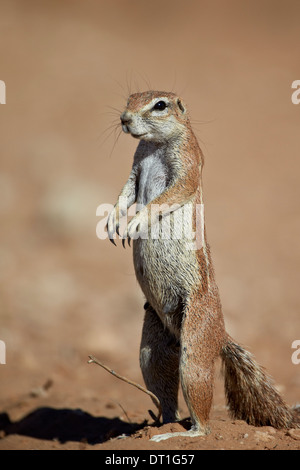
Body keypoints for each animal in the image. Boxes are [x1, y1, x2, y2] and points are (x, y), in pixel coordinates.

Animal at [106, 91, 300, 440]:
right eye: (129, 99)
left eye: (159, 105)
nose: (124, 119)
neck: (153, 145)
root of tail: (221, 335)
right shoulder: (134, 168)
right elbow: (125, 192)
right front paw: (113, 218)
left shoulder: (187, 164)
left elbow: (169, 195)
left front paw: (136, 221)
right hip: (152, 347)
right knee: (161, 382)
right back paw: (155, 426)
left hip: (195, 341)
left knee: (203, 417)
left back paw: (181, 433)